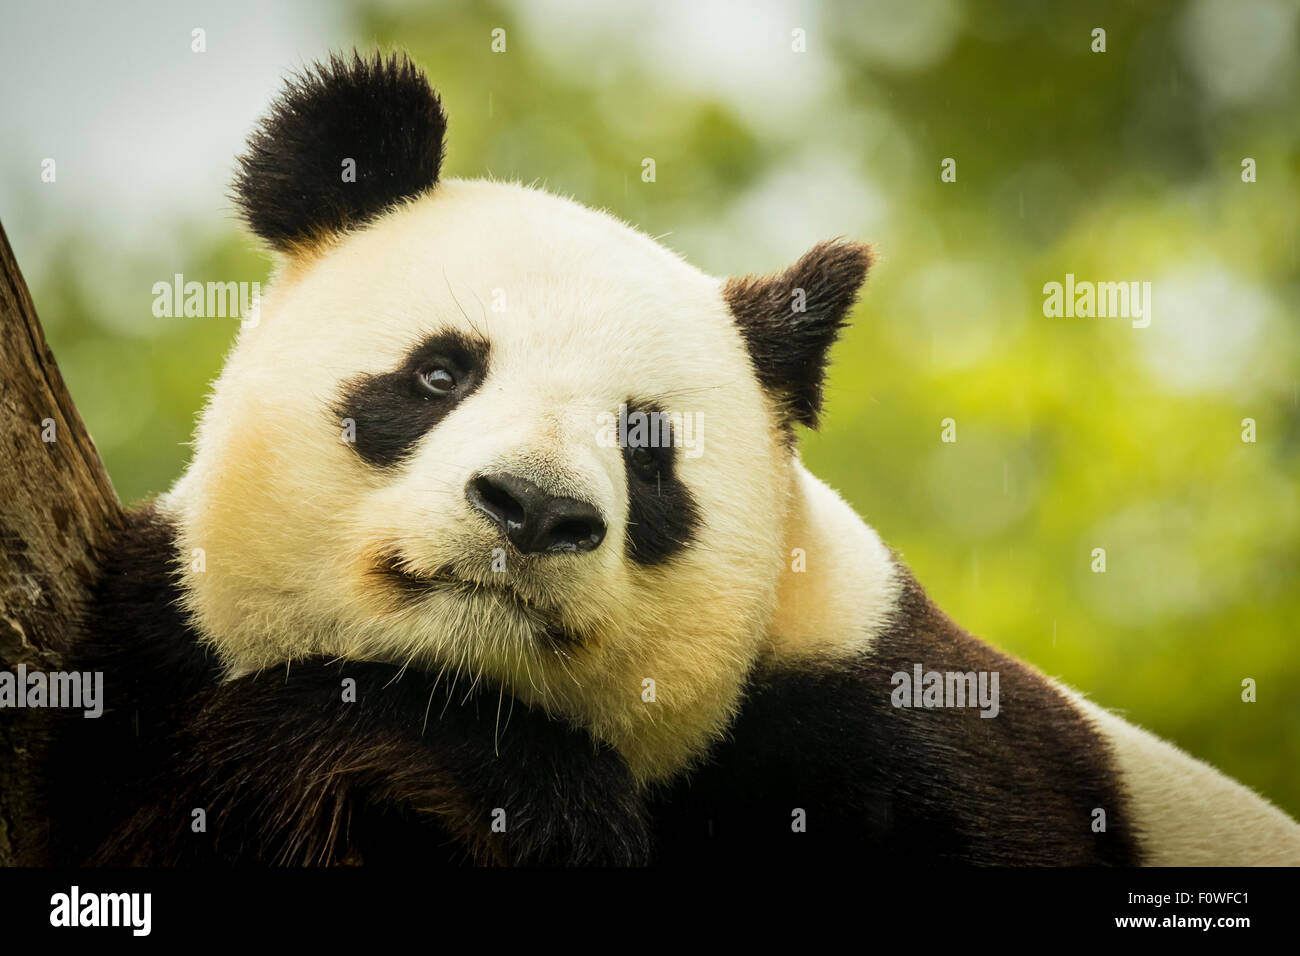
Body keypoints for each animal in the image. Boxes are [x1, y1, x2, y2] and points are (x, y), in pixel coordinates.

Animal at [50, 50, 1300, 868]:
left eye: (647, 452)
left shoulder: (903, 751)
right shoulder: (144, 655)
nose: (532, 509)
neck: (464, 680)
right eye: (442, 374)